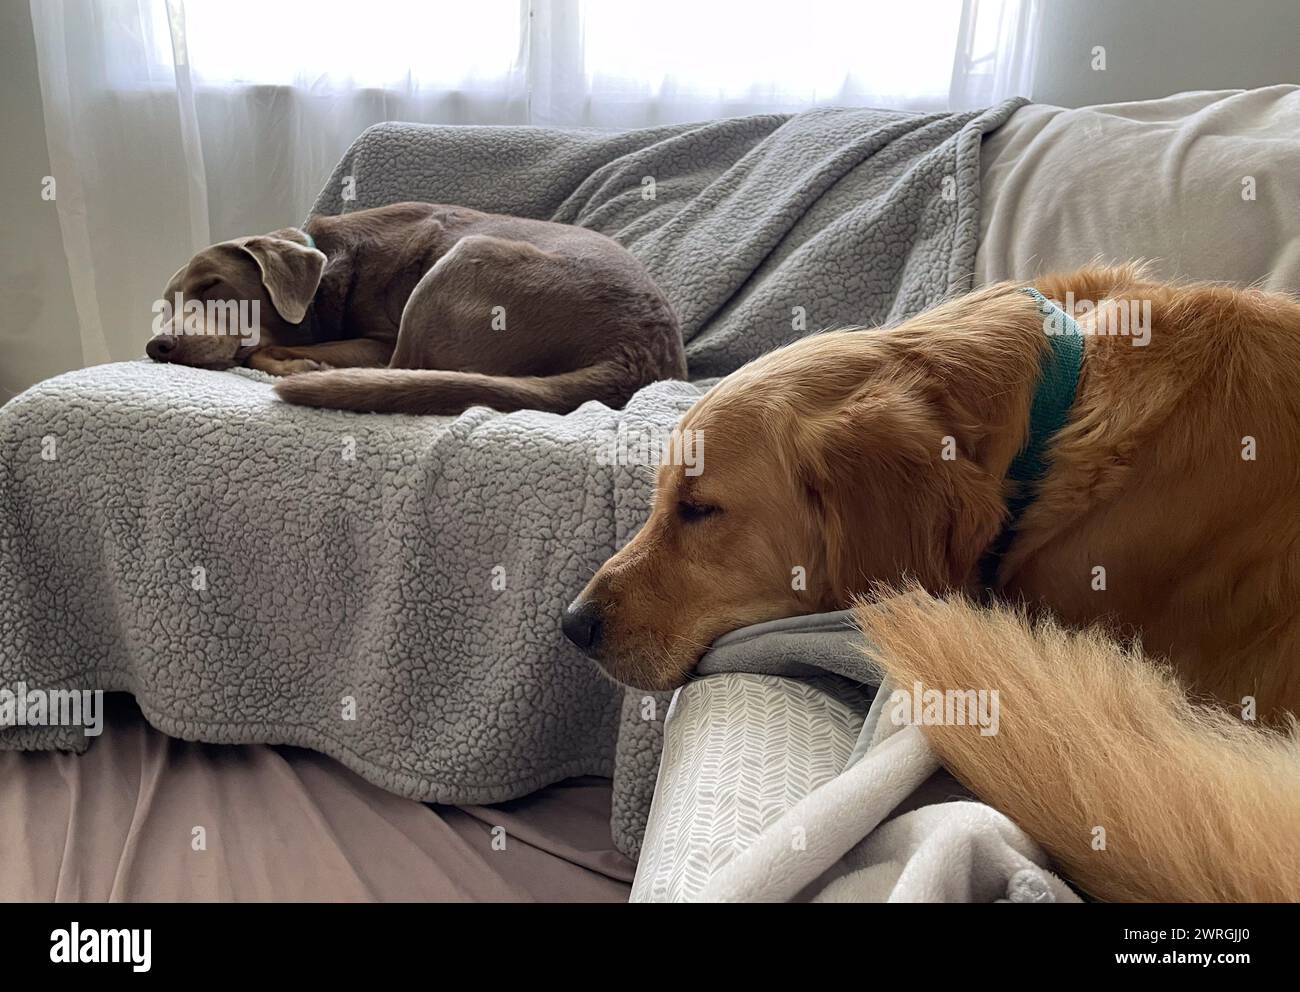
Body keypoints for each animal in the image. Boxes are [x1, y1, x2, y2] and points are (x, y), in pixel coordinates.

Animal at [147, 201, 686, 416]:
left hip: (464, 259)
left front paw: (301, 362)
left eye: (212, 285)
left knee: (399, 372)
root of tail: (636, 354)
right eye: (166, 304)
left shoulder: (377, 340)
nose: (157, 345)